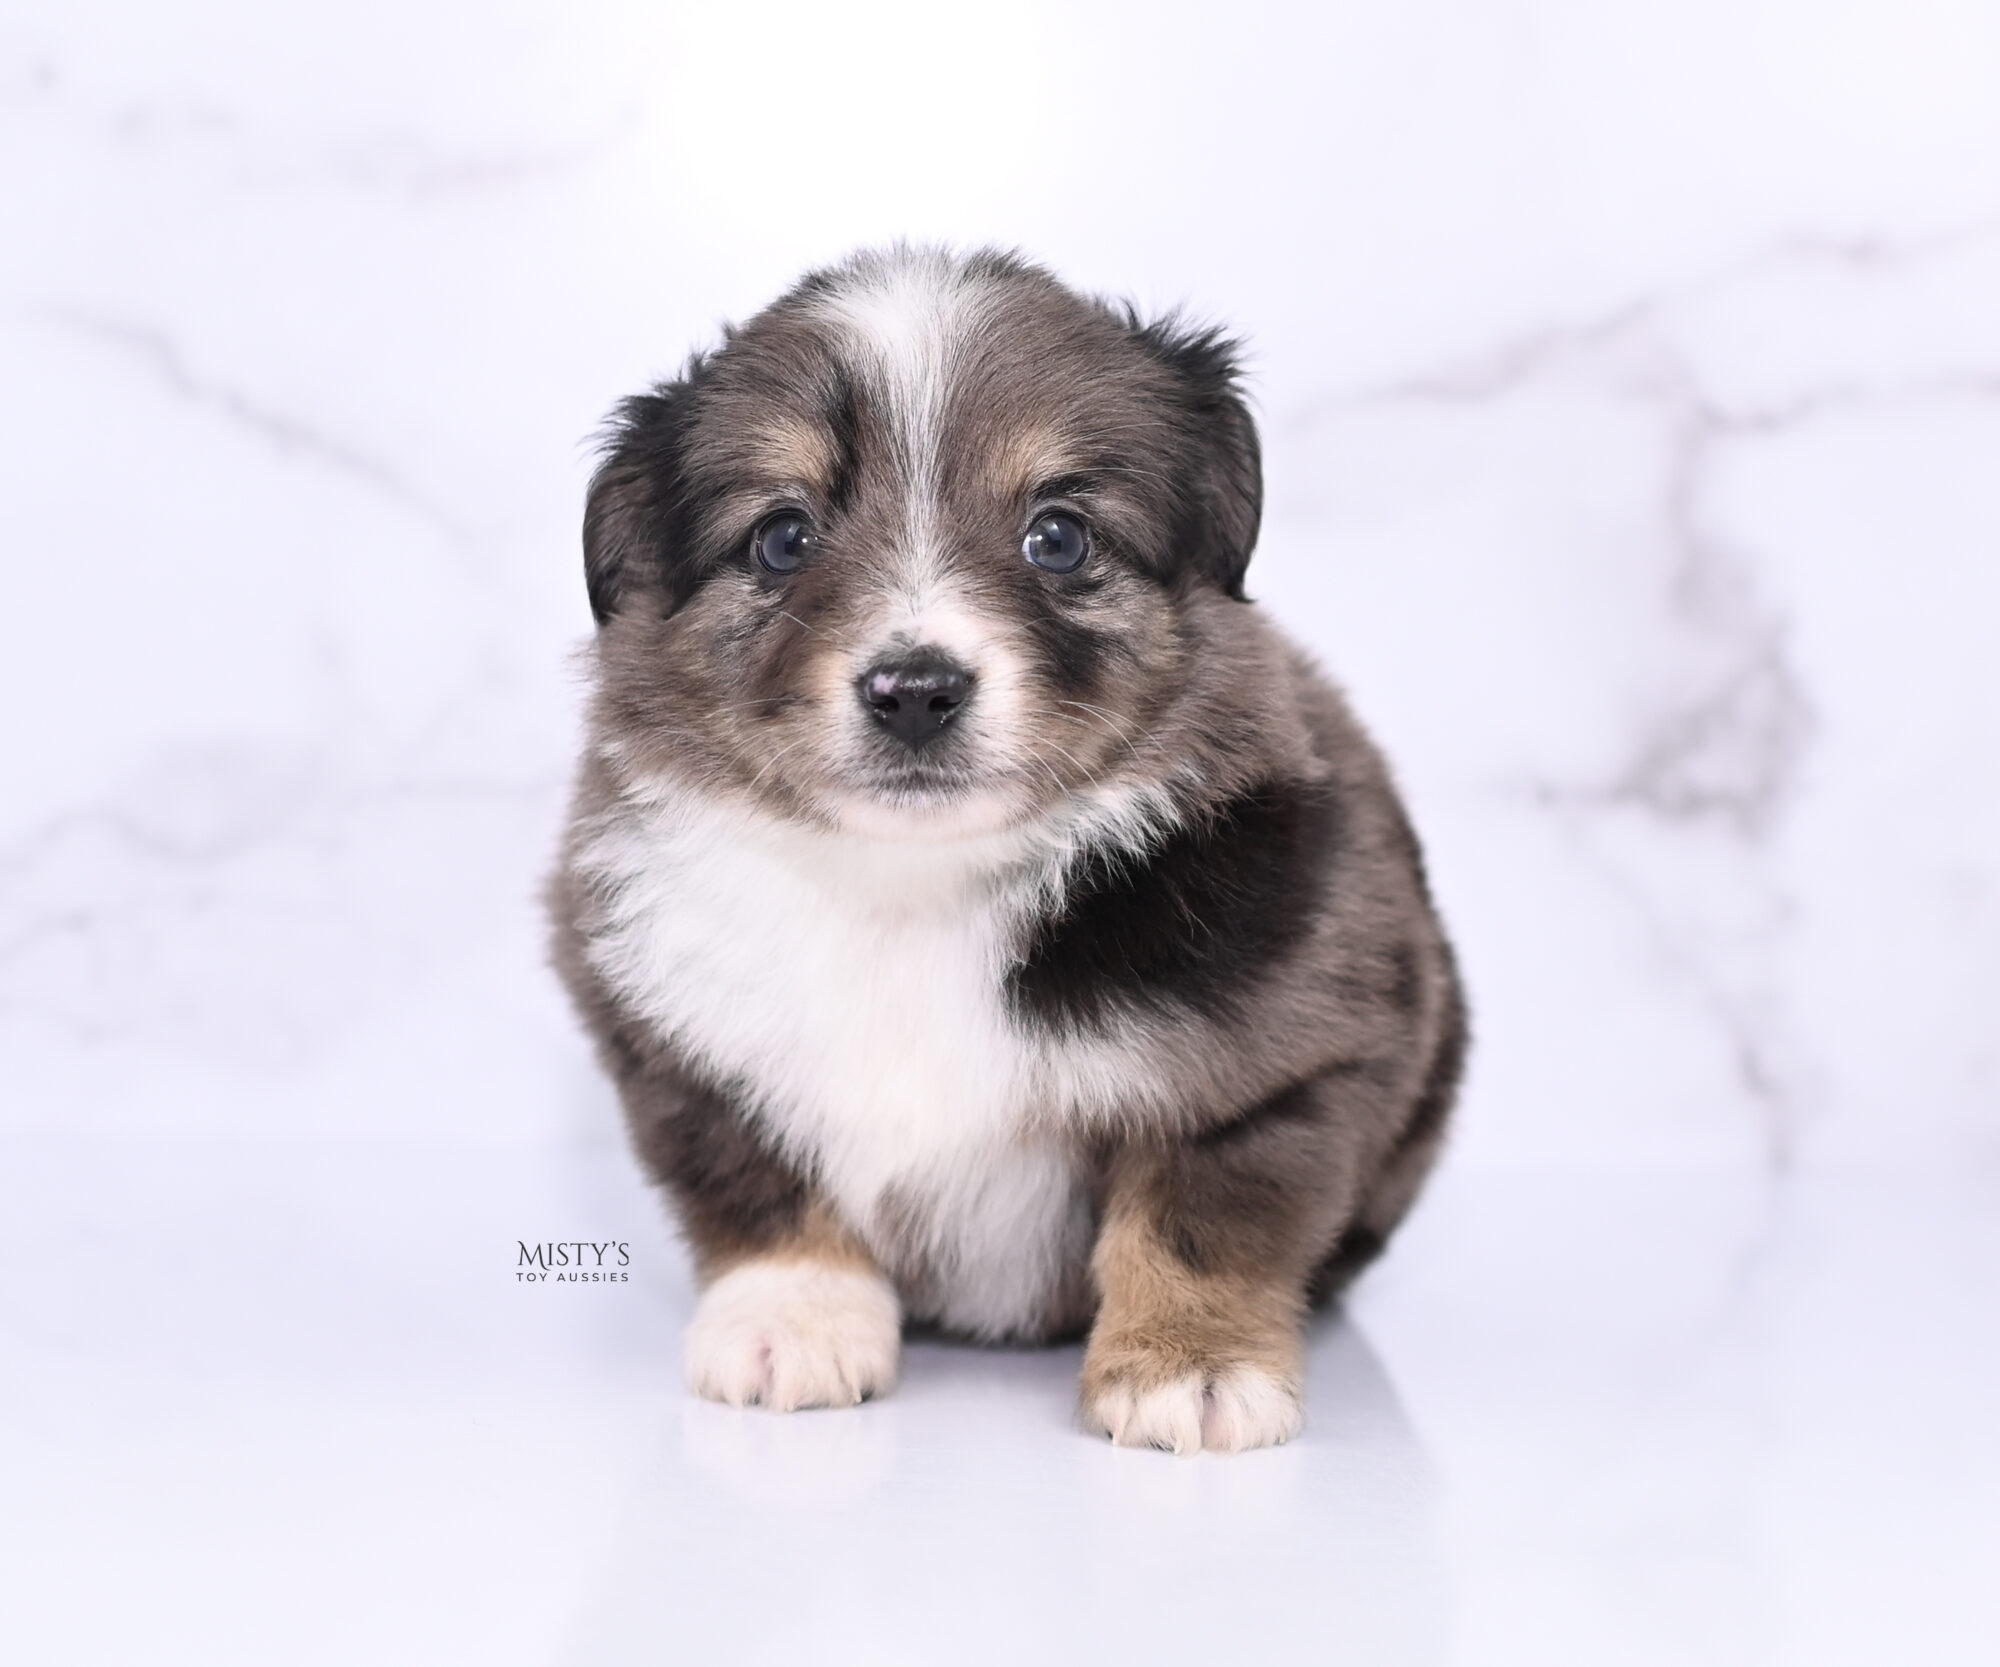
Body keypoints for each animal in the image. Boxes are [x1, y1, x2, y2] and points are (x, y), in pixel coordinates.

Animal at [552, 246, 1472, 1455]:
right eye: (784, 537)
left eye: (1059, 536)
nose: (914, 689)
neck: (913, 885)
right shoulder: (677, 1042)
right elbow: (756, 1181)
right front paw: (792, 1318)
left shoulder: (1289, 1054)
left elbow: (1199, 1211)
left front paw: (1188, 1363)